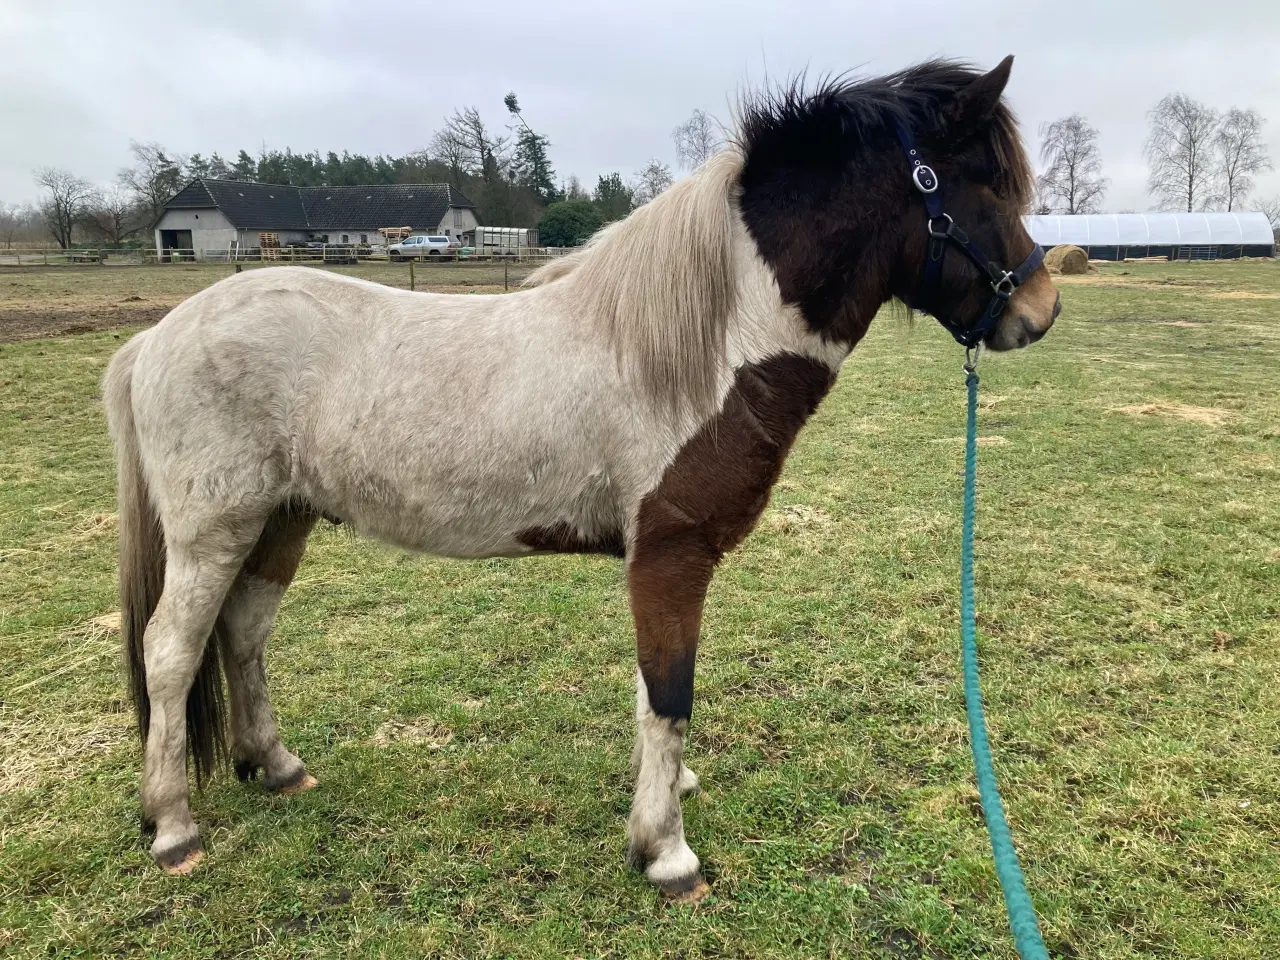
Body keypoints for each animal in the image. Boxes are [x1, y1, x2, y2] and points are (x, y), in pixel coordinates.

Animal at [102, 54, 1059, 896]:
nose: (1040, 311)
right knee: (171, 652)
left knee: (243, 634)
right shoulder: (671, 551)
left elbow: (649, 691)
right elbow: (670, 692)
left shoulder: (655, 560)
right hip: (213, 532)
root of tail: (157, 337)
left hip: (281, 521)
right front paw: (666, 853)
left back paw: (274, 764)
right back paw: (174, 827)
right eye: (983, 184)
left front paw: (667, 796)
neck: (707, 347)